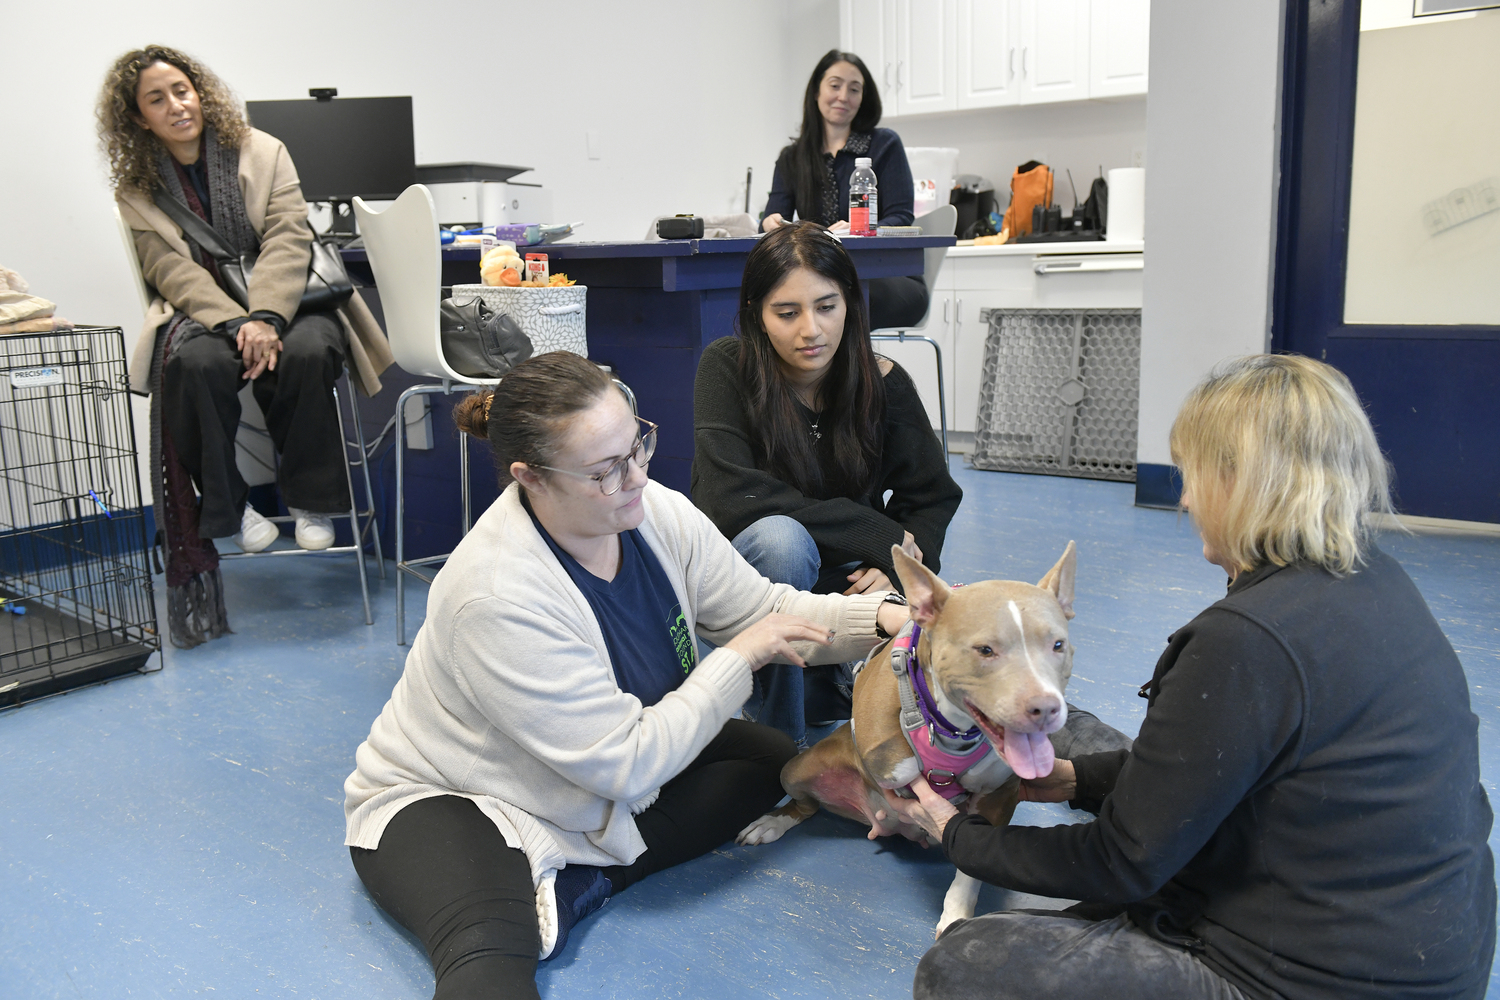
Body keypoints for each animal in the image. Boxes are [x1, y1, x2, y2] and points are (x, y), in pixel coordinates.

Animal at [732, 542, 1074, 935]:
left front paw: (955, 915)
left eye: (1058, 645)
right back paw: (771, 823)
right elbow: (898, 766)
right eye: (985, 649)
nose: (1045, 708)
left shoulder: (1000, 796)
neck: (954, 728)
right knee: (805, 805)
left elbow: (972, 864)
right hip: (795, 768)